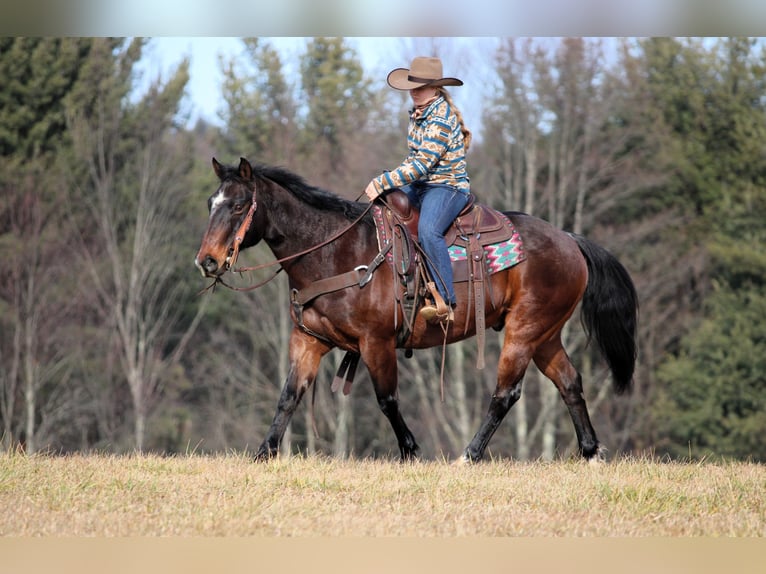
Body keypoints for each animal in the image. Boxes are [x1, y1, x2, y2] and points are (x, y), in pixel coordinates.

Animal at [195, 157, 638, 462]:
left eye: (239, 206)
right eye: (211, 202)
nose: (207, 261)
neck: (336, 252)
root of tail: (568, 239)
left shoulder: (376, 342)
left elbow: (387, 399)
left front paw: (410, 450)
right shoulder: (309, 341)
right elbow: (288, 396)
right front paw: (264, 452)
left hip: (525, 331)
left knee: (505, 393)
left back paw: (469, 455)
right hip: (545, 336)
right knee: (570, 383)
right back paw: (590, 451)